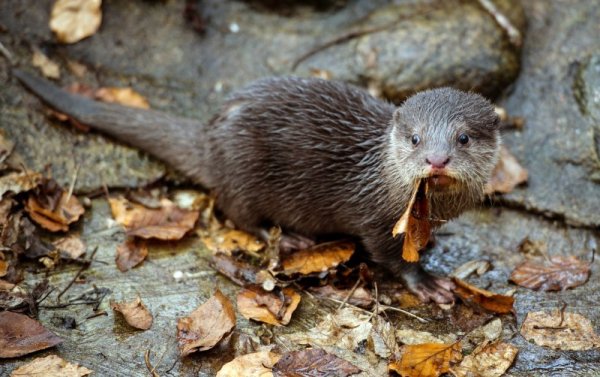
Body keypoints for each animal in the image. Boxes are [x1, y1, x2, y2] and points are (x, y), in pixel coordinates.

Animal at [15, 70, 502, 302]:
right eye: (416, 138)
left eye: (463, 138)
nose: (436, 160)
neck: (381, 173)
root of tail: (210, 137)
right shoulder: (375, 217)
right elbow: (388, 256)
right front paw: (427, 281)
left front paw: (433, 244)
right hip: (242, 171)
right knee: (238, 214)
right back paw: (288, 238)